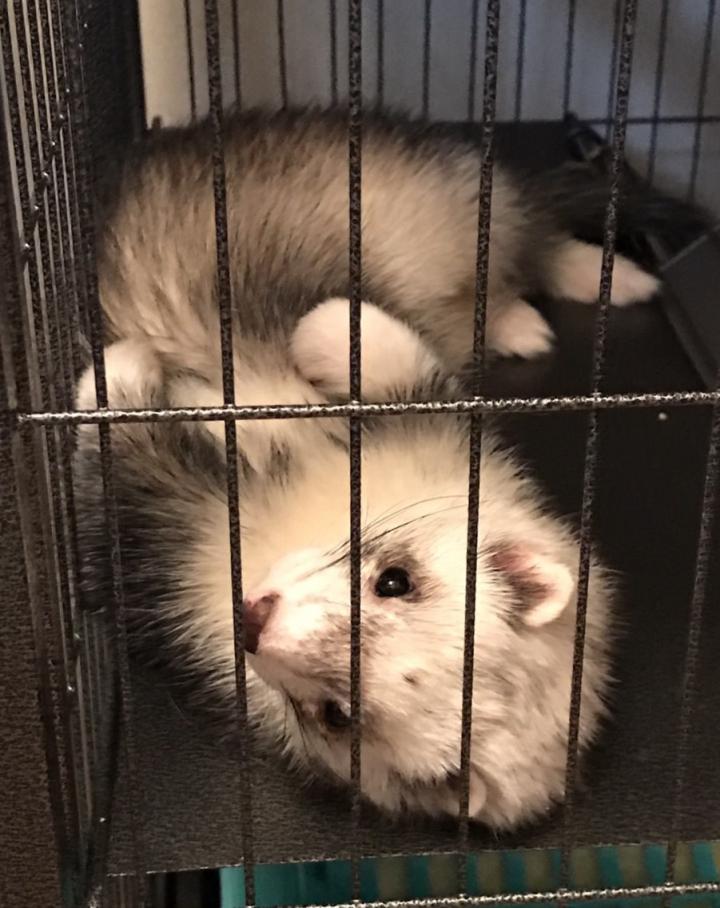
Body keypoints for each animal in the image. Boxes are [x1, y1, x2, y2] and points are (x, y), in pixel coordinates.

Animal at [74, 295, 614, 831]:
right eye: (396, 581)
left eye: (337, 716)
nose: (253, 620)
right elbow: (394, 360)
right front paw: (327, 327)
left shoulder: (175, 558)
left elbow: (120, 477)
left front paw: (121, 370)